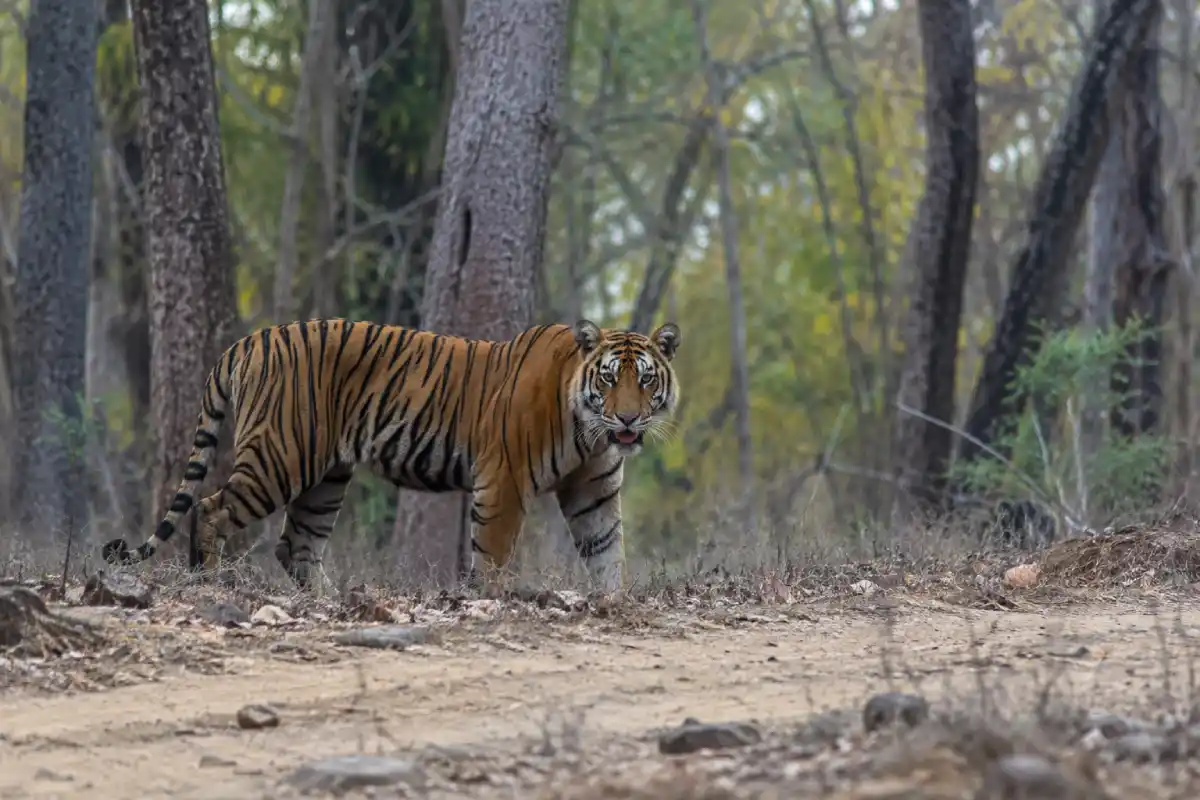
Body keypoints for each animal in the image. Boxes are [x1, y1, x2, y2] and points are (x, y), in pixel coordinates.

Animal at [102, 318, 682, 594]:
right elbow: (493, 554)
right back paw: (208, 579)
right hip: (279, 457)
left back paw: (331, 600)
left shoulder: (593, 490)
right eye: (608, 379)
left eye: (644, 380)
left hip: (326, 477)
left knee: (296, 545)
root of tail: (249, 340)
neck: (590, 432)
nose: (627, 420)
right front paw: (491, 598)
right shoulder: (505, 480)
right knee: (210, 508)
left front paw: (612, 602)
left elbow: (607, 552)